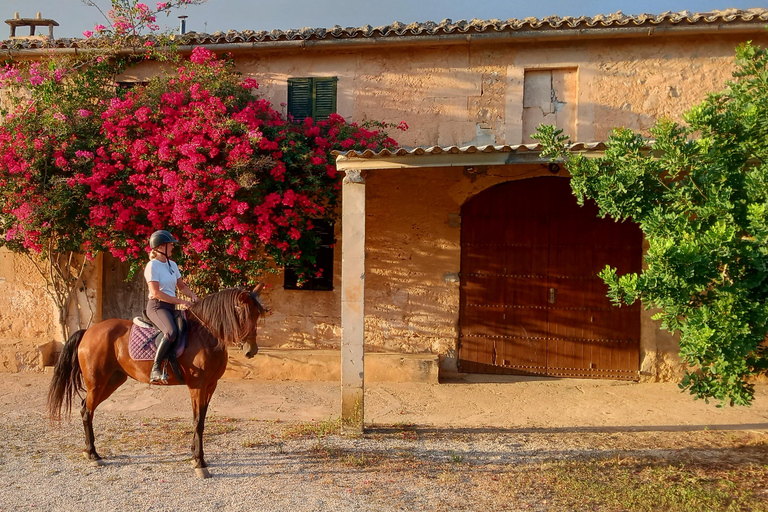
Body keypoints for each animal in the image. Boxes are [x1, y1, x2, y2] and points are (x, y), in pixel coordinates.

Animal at [46, 284, 268, 480]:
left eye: (258, 315)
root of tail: (89, 331)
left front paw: (195, 455)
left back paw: (89, 451)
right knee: (87, 411)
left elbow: (201, 420)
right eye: (245, 314)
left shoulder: (210, 386)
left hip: (112, 381)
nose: (251, 350)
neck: (205, 334)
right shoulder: (198, 386)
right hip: (97, 382)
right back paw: (93, 455)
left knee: (86, 408)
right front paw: (199, 463)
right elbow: (197, 422)